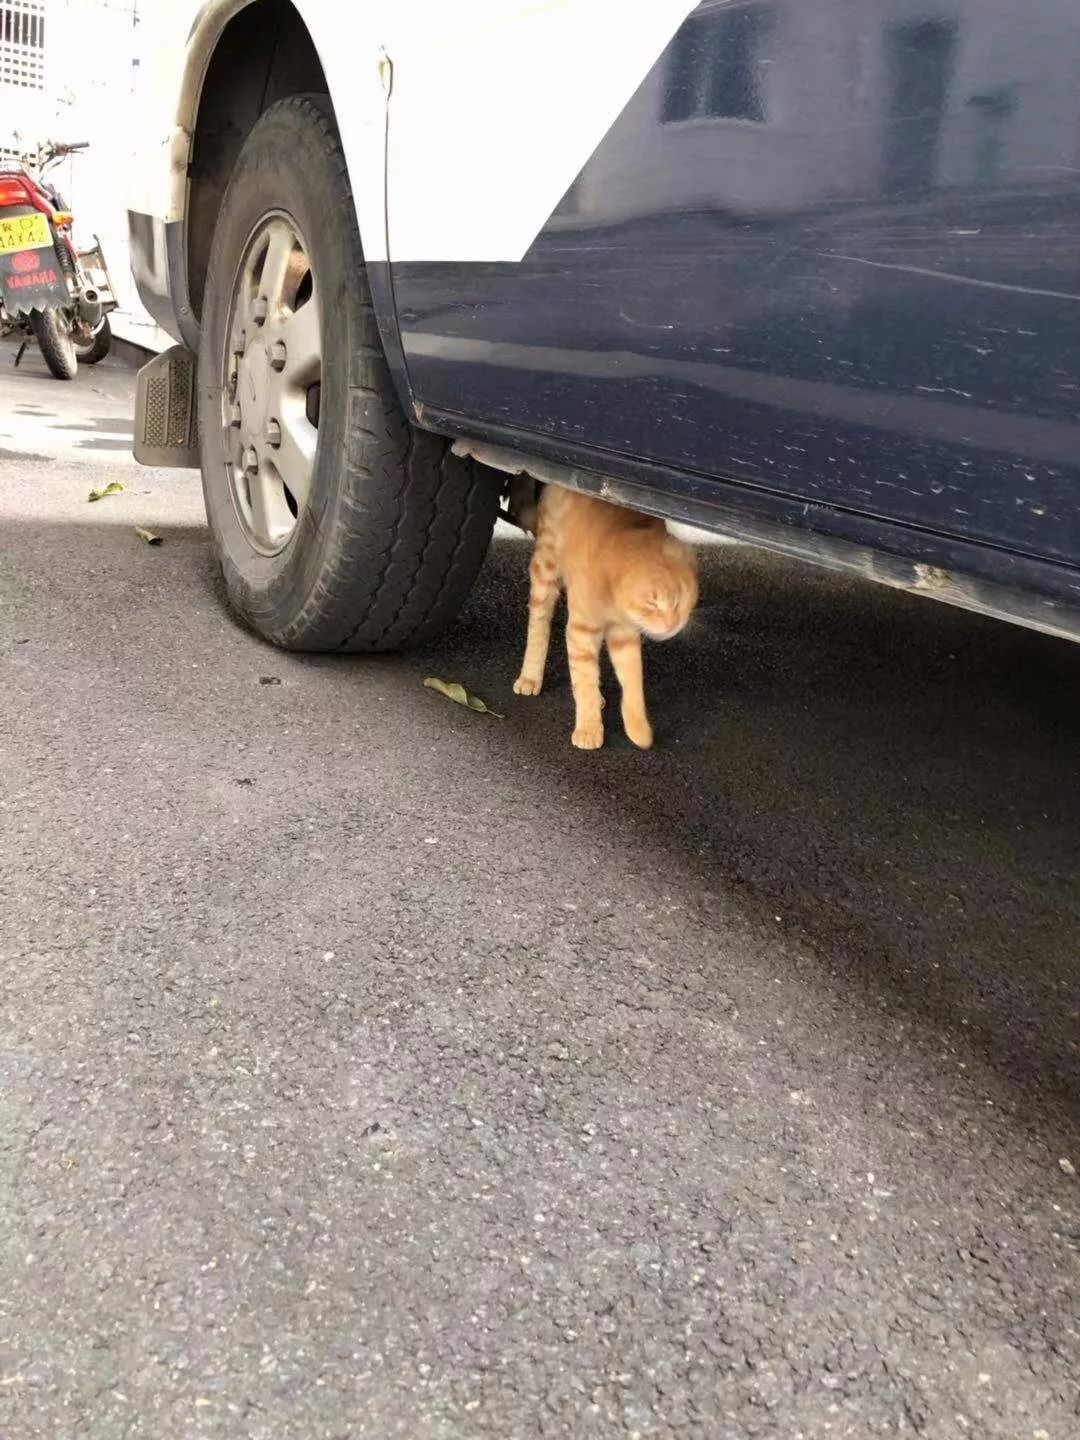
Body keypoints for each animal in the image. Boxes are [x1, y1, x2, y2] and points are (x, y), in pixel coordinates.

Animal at [515, 486, 702, 748]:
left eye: (684, 600)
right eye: (653, 603)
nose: (673, 624)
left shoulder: (625, 636)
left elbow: (633, 682)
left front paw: (638, 730)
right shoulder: (581, 632)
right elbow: (584, 681)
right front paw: (589, 728)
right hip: (546, 569)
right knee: (539, 624)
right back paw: (530, 676)